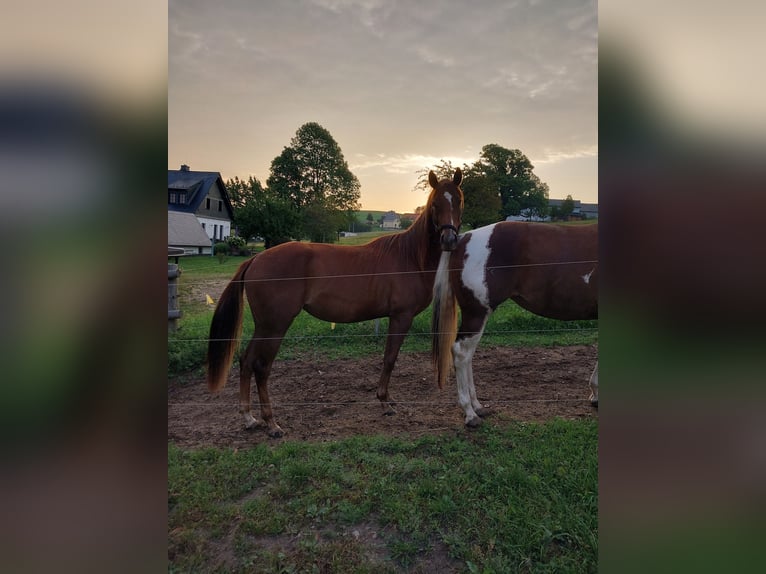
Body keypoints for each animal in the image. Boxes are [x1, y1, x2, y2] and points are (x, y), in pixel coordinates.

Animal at [207, 169, 464, 438]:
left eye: (458, 201)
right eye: (435, 204)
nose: (449, 239)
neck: (410, 257)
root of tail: (255, 259)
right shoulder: (401, 317)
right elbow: (390, 358)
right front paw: (384, 402)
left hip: (264, 326)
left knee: (246, 361)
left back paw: (249, 418)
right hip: (274, 326)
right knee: (261, 366)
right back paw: (271, 423)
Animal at [432, 220, 600, 428]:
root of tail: (464, 237)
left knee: (468, 355)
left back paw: (477, 406)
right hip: (476, 313)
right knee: (462, 353)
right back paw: (470, 413)